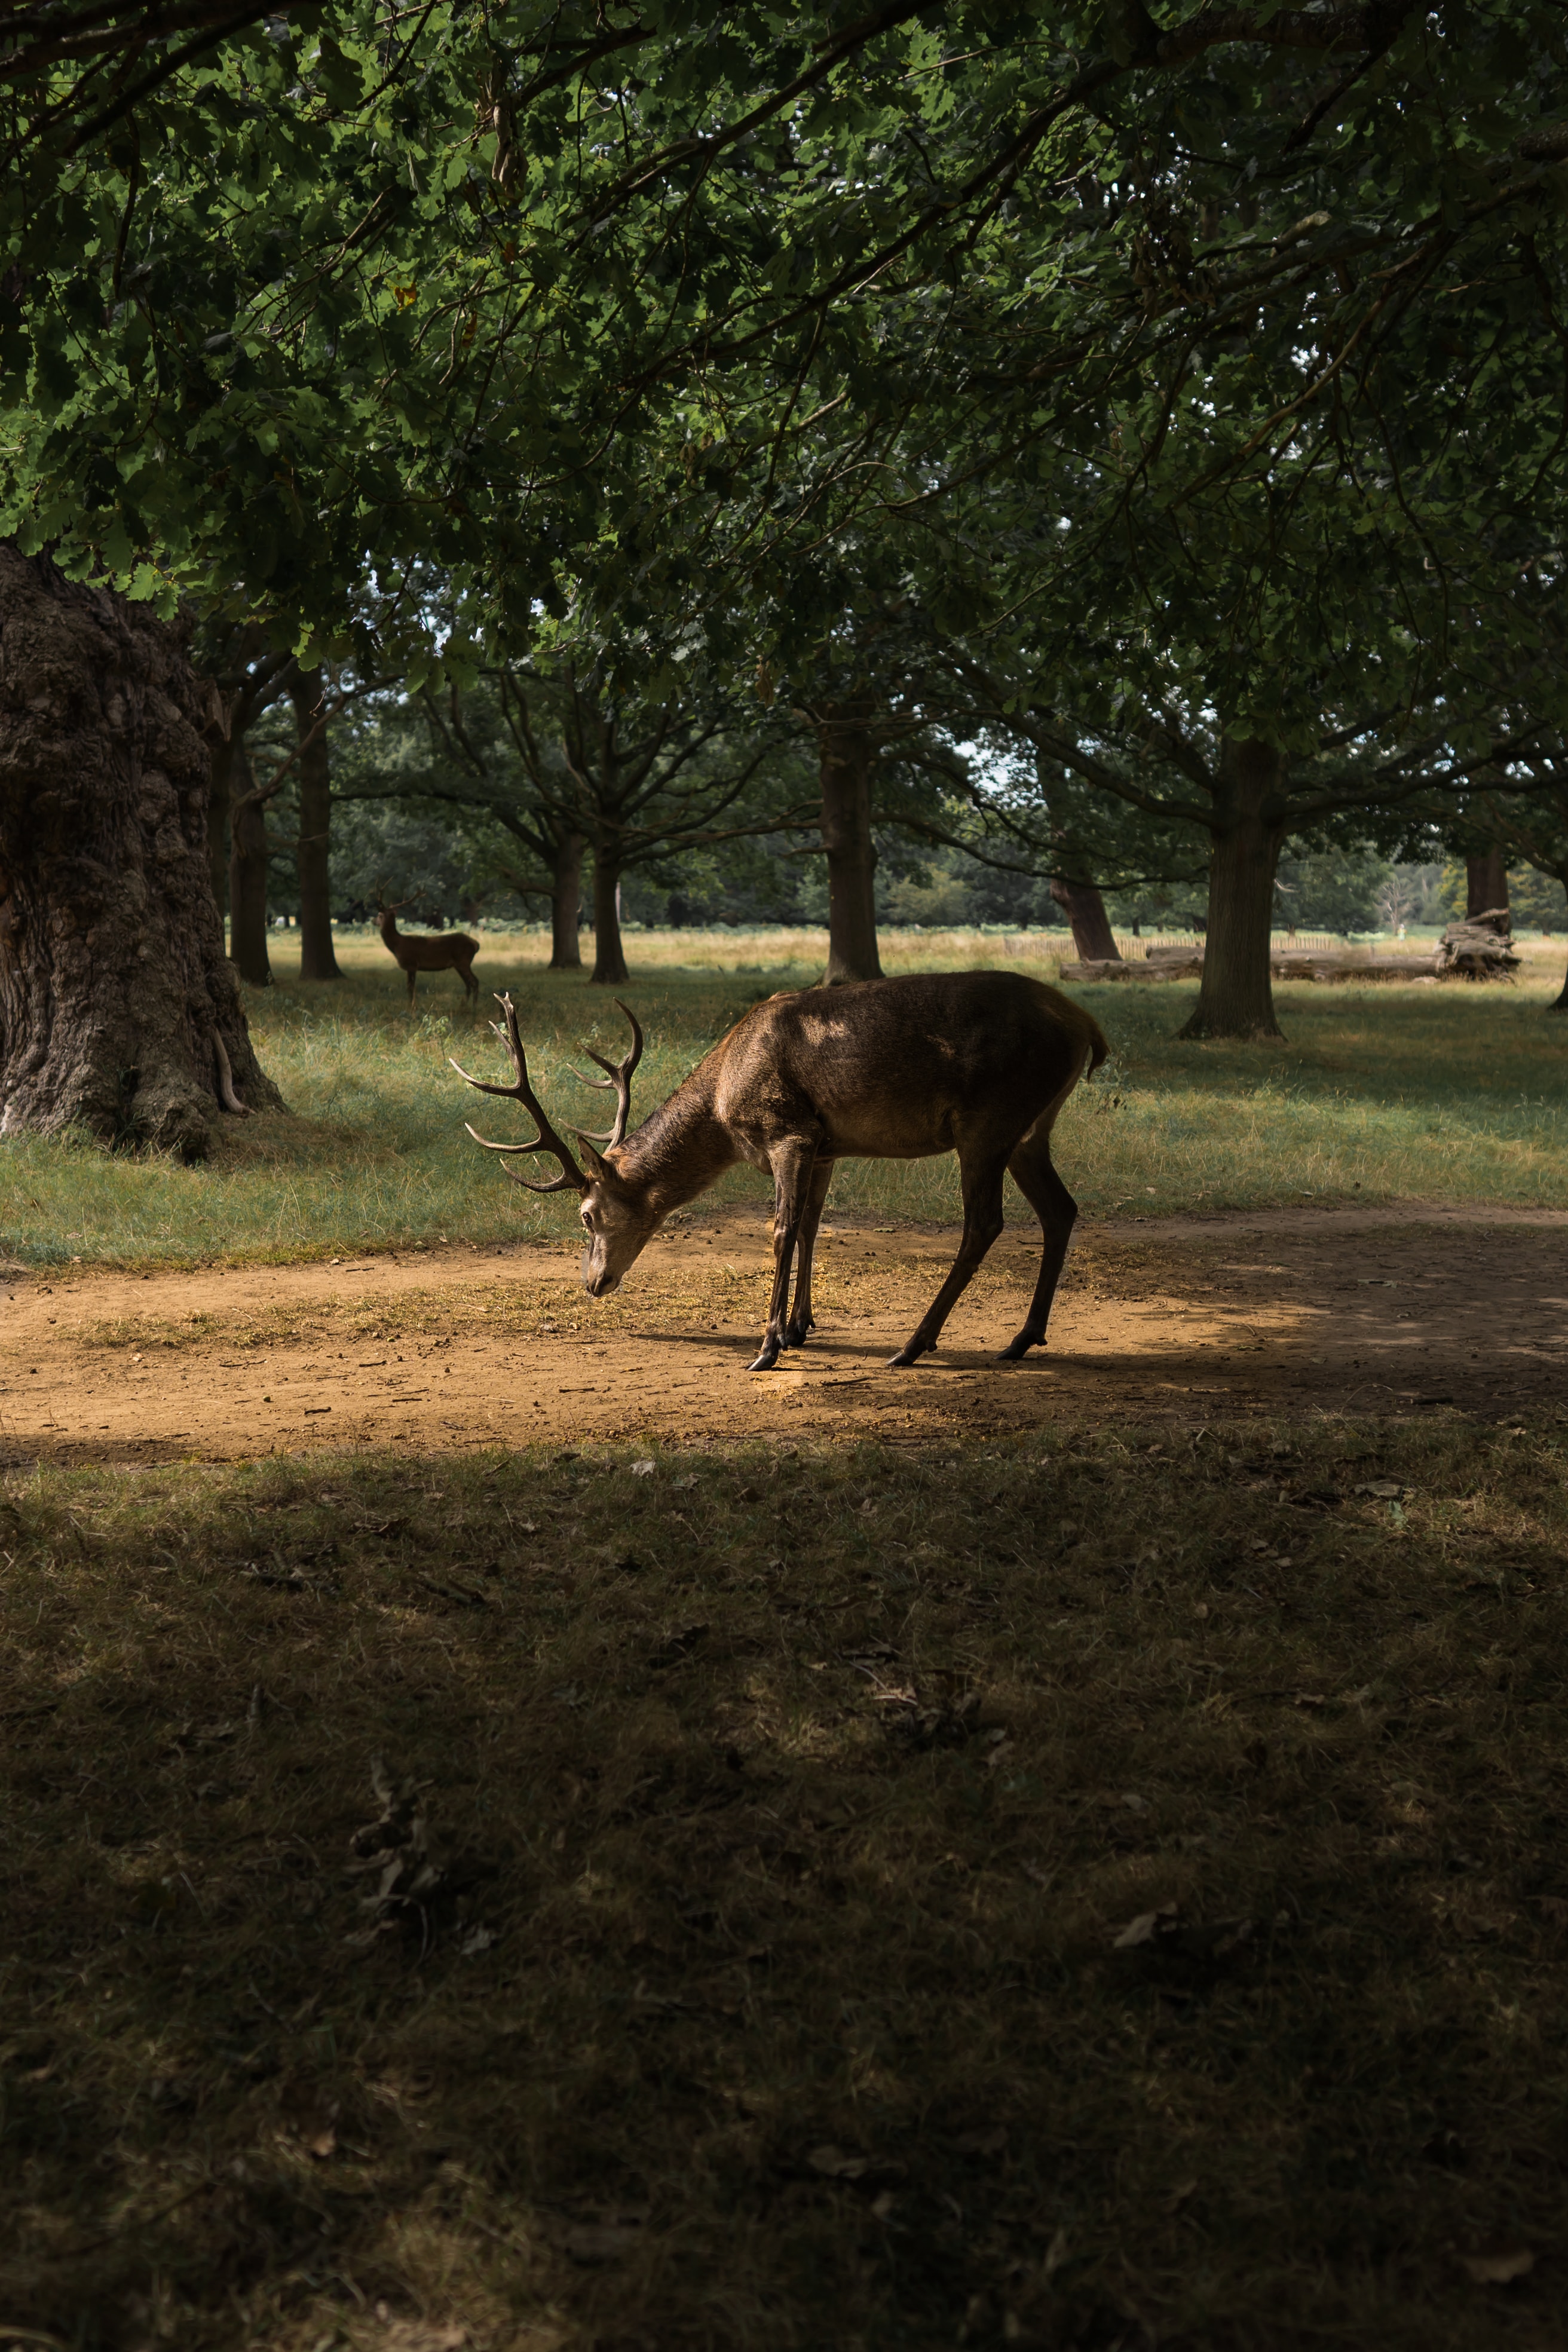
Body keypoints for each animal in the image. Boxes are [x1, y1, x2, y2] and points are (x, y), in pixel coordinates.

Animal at [376, 893, 482, 1006]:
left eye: (380, 915)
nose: (373, 921)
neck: (397, 946)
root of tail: (476, 944)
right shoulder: (412, 967)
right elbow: (411, 988)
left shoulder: (412, 964)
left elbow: (410, 989)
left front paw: (411, 1007)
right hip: (460, 964)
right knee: (469, 984)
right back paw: (464, 1006)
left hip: (463, 961)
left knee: (474, 981)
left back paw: (474, 1006)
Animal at [454, 969, 1109, 1373]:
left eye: (587, 1215)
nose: (592, 1284)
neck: (723, 1104)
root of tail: (1086, 1024)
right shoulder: (825, 1146)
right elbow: (814, 1227)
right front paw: (800, 1327)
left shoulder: (786, 1131)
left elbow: (781, 1231)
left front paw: (767, 1345)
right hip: (1030, 1129)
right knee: (1061, 1209)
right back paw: (1021, 1338)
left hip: (989, 1119)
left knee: (984, 1223)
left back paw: (914, 1345)